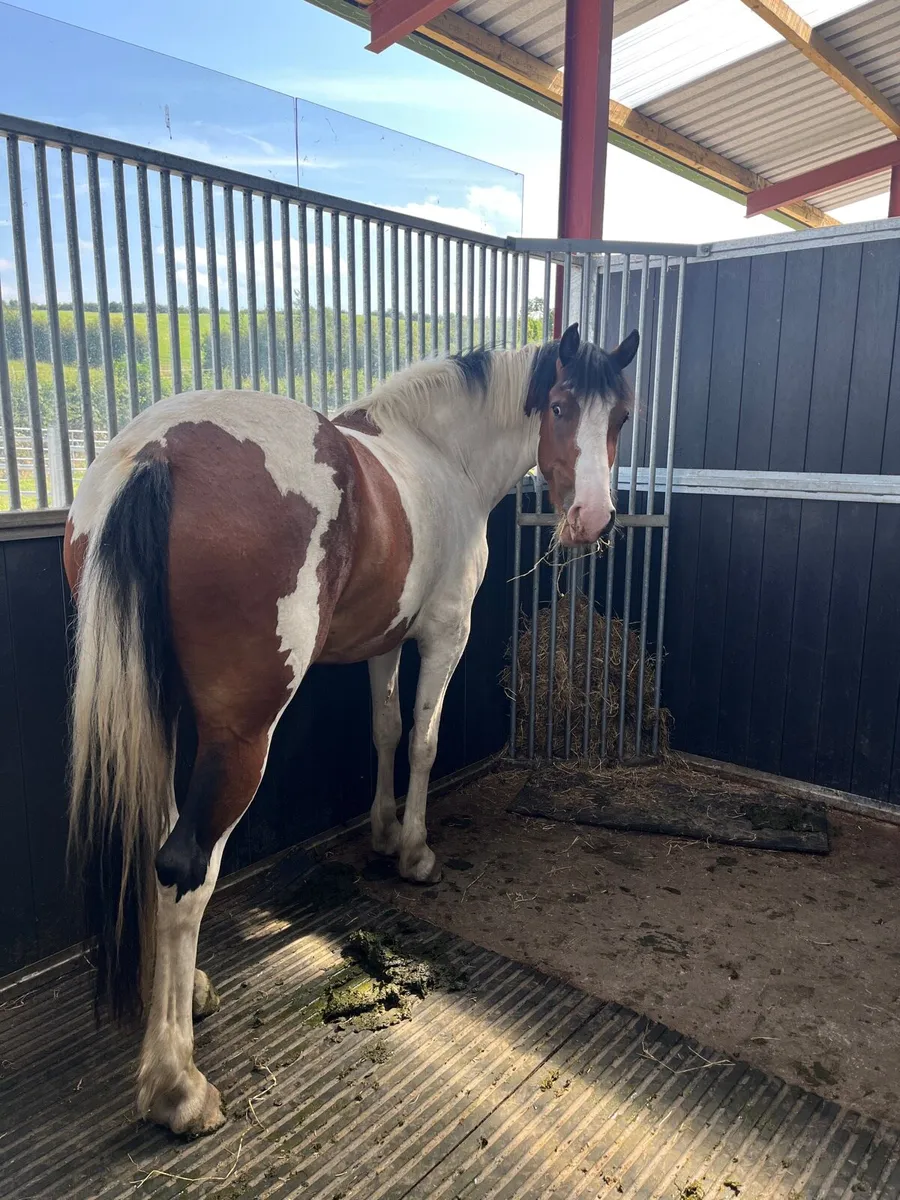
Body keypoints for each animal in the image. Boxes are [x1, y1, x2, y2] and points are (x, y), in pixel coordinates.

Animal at [64, 320, 639, 1137]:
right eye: (559, 406)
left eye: (619, 417)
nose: (592, 519)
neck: (440, 449)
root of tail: (158, 454)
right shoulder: (444, 634)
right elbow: (425, 741)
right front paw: (415, 852)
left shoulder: (383, 640)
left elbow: (387, 729)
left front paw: (383, 830)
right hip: (240, 737)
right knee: (185, 869)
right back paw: (178, 1086)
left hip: (160, 712)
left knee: (155, 837)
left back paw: (182, 994)